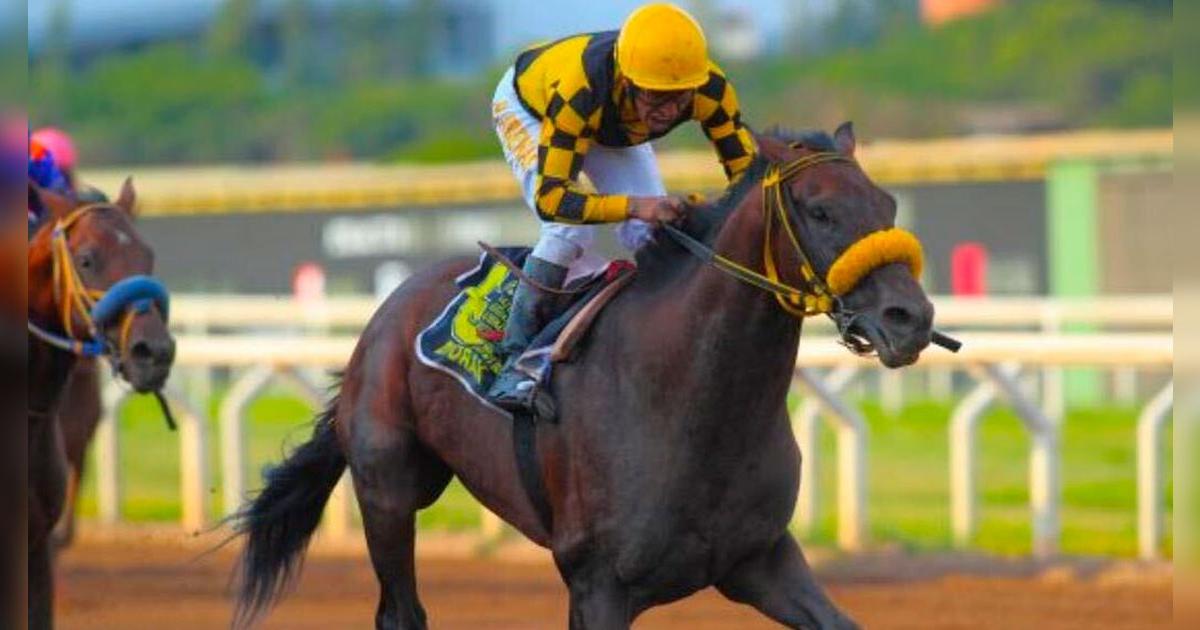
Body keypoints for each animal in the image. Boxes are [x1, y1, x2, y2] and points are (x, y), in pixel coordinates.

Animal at [233, 124, 934, 629]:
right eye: (820, 212)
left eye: (889, 203)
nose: (912, 318)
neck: (691, 403)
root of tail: (385, 311)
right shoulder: (599, 584)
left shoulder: (759, 559)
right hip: (388, 490)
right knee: (400, 612)